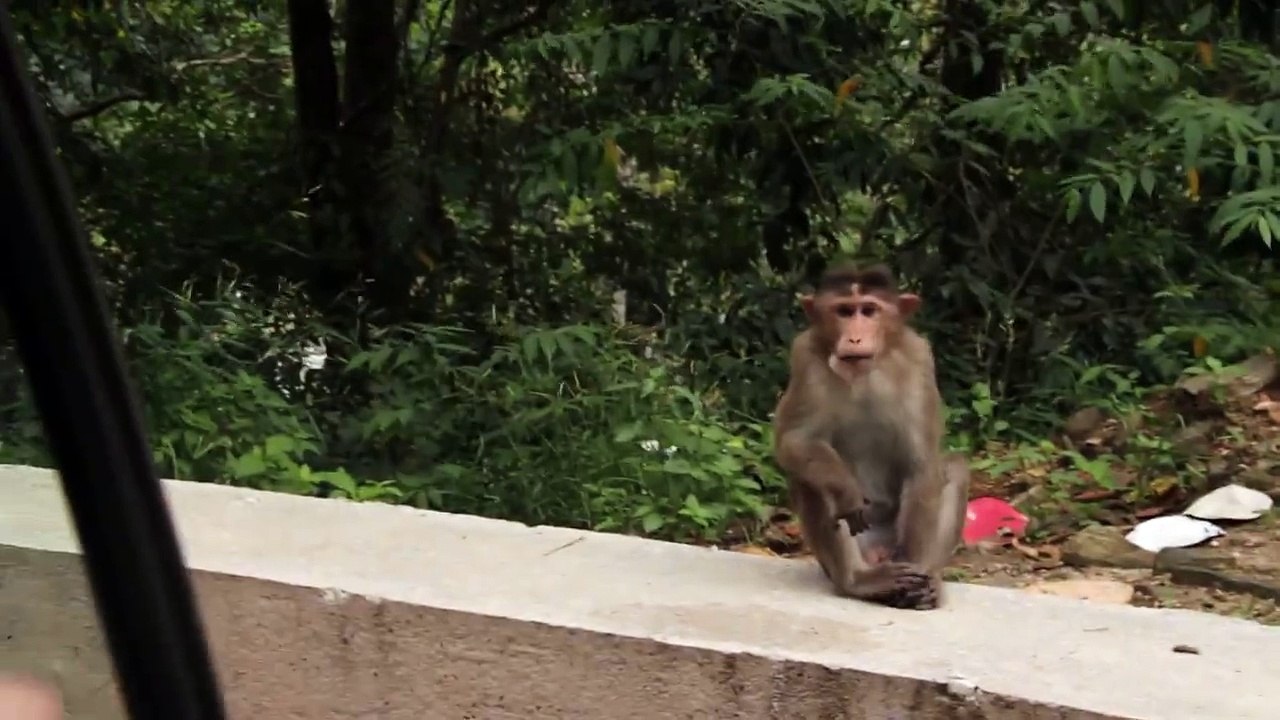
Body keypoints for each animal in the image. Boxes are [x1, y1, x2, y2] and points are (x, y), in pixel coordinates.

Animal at [772, 262, 970, 610]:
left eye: (869, 310)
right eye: (844, 311)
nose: (854, 337)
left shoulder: (918, 357)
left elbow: (921, 462)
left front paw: (917, 571)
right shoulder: (804, 356)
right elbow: (795, 441)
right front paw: (847, 491)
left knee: (953, 468)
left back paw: (929, 578)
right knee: (809, 480)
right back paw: (859, 580)